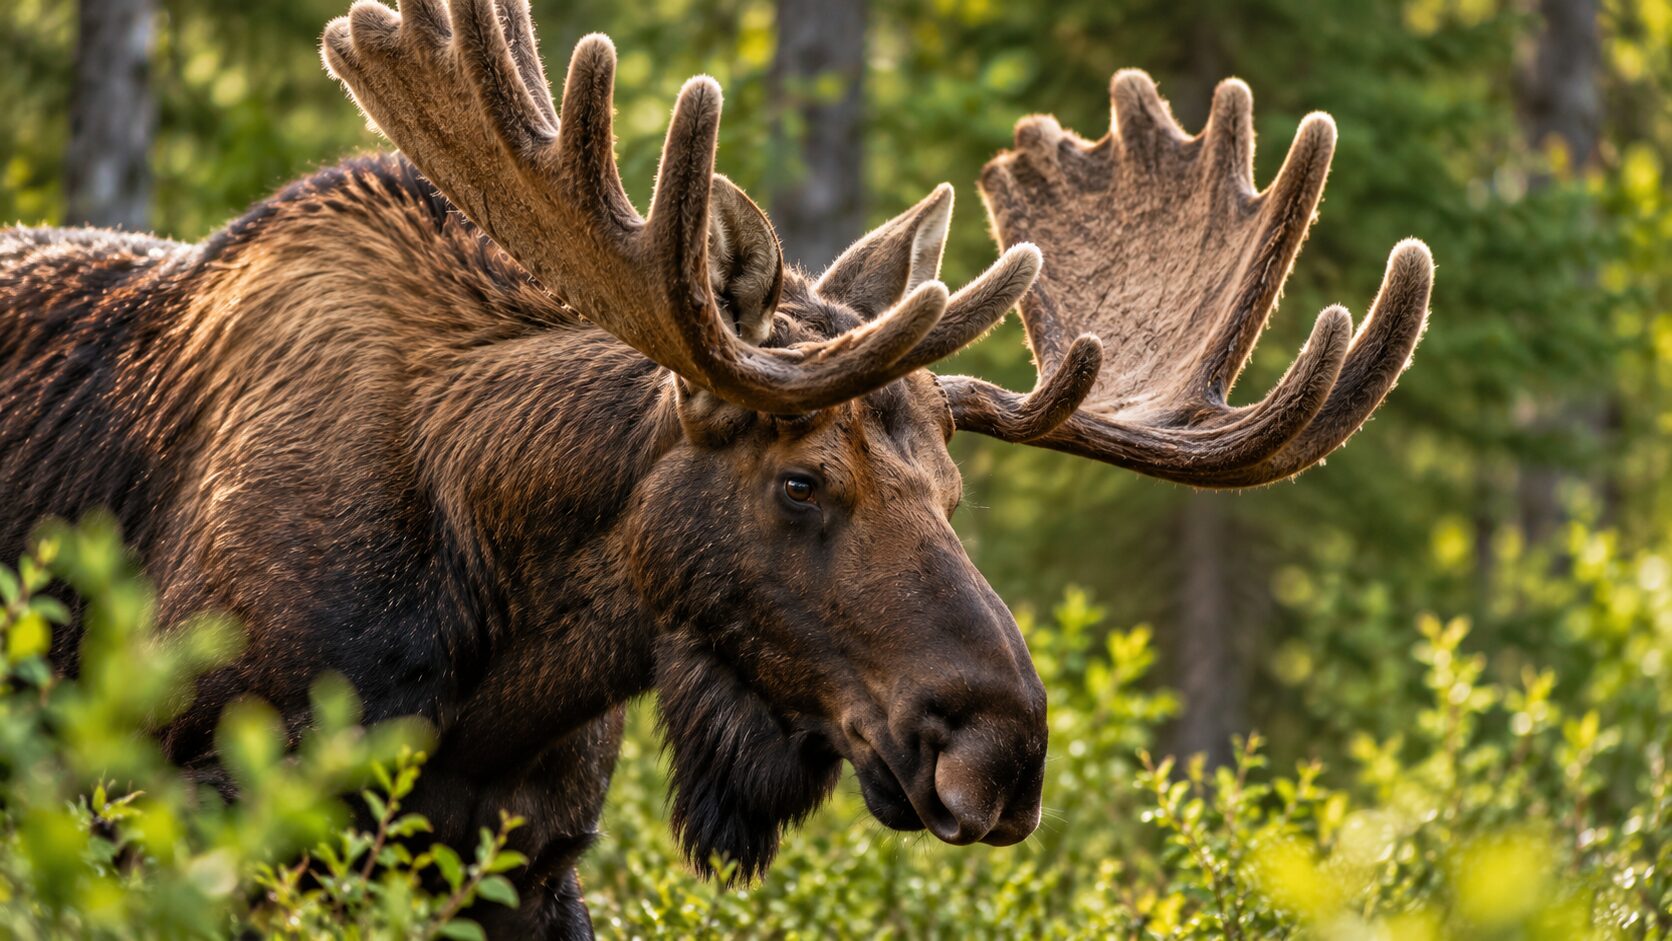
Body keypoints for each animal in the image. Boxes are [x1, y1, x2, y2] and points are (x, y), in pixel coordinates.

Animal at [0, 0, 1433, 936]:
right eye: (800, 479)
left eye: (955, 492)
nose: (1001, 749)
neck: (489, 665)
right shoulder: (178, 808)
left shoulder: (529, 859)